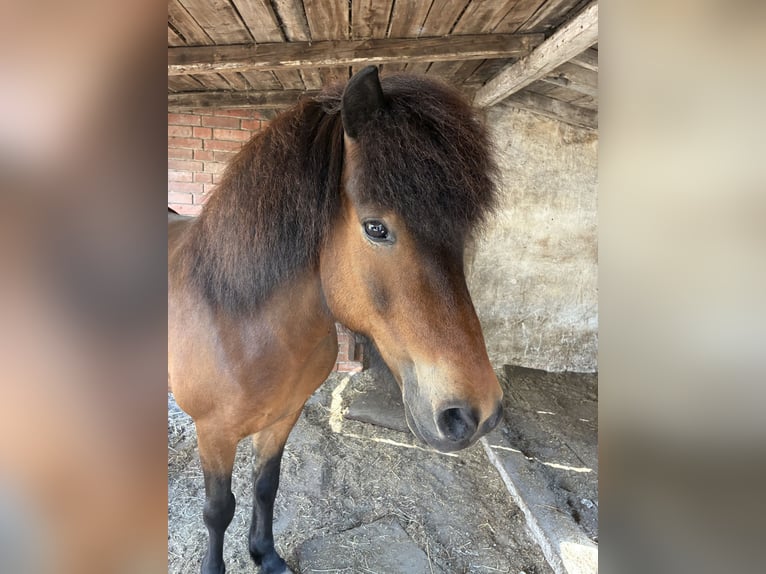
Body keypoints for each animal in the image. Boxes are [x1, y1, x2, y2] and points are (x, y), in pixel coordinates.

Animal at [168, 66, 504, 574]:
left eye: (462, 233)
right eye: (376, 228)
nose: (476, 413)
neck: (243, 327)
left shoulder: (284, 416)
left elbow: (266, 485)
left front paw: (266, 555)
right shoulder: (215, 434)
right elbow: (218, 509)